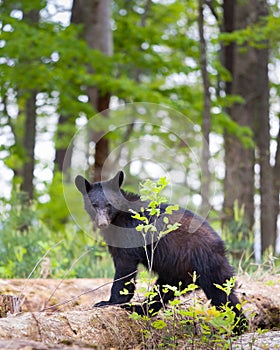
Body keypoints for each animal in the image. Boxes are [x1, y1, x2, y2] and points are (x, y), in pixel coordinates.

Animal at [75, 171, 246, 332]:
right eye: (94, 205)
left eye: (109, 204)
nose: (102, 223)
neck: (118, 219)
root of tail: (221, 247)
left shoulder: (131, 233)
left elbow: (124, 267)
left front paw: (110, 301)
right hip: (176, 273)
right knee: (162, 292)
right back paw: (140, 308)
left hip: (207, 265)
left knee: (222, 295)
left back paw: (239, 326)